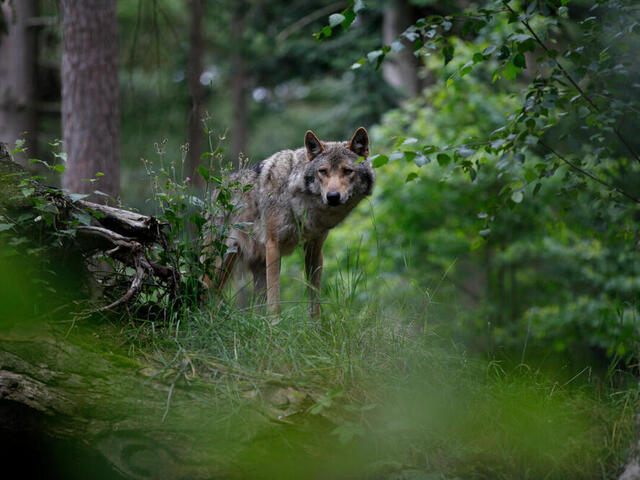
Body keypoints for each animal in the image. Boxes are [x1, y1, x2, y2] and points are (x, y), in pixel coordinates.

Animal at [205, 127, 375, 317]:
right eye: (323, 171)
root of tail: (216, 190)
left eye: (347, 171)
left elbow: (314, 302)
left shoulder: (314, 249)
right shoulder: (273, 245)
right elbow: (275, 302)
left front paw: (316, 326)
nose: (332, 196)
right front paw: (274, 324)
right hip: (218, 266)